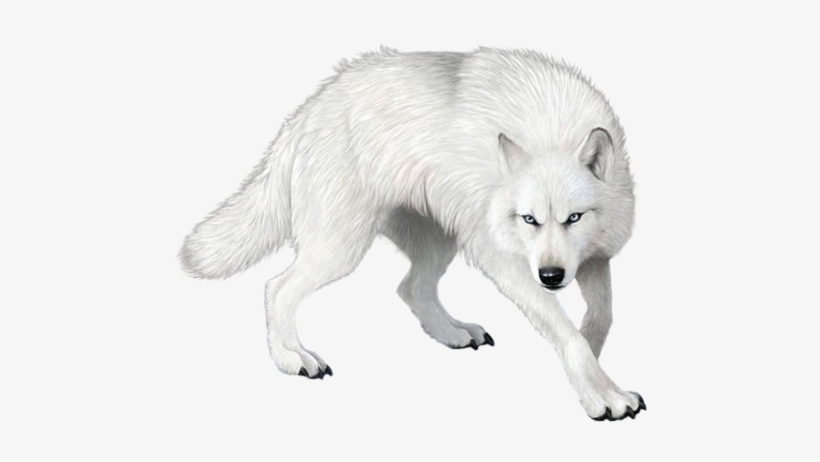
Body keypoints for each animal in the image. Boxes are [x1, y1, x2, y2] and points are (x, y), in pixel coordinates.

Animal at [180, 47, 643, 421]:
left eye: (574, 218)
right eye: (529, 220)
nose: (550, 277)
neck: (553, 135)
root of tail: (309, 109)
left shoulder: (595, 258)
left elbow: (600, 317)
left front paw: (594, 360)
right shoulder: (508, 263)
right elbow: (567, 335)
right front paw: (603, 396)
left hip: (441, 242)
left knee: (410, 287)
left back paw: (454, 333)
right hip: (342, 247)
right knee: (276, 287)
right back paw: (293, 359)